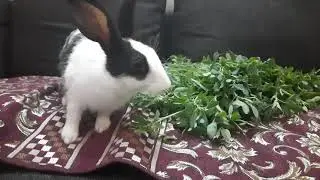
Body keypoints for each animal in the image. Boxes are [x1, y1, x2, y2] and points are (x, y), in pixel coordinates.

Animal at [58, 0, 171, 144]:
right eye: (138, 65)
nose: (168, 85)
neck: (112, 81)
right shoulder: (76, 97)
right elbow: (73, 116)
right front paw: (68, 136)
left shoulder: (109, 105)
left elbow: (104, 114)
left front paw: (102, 126)